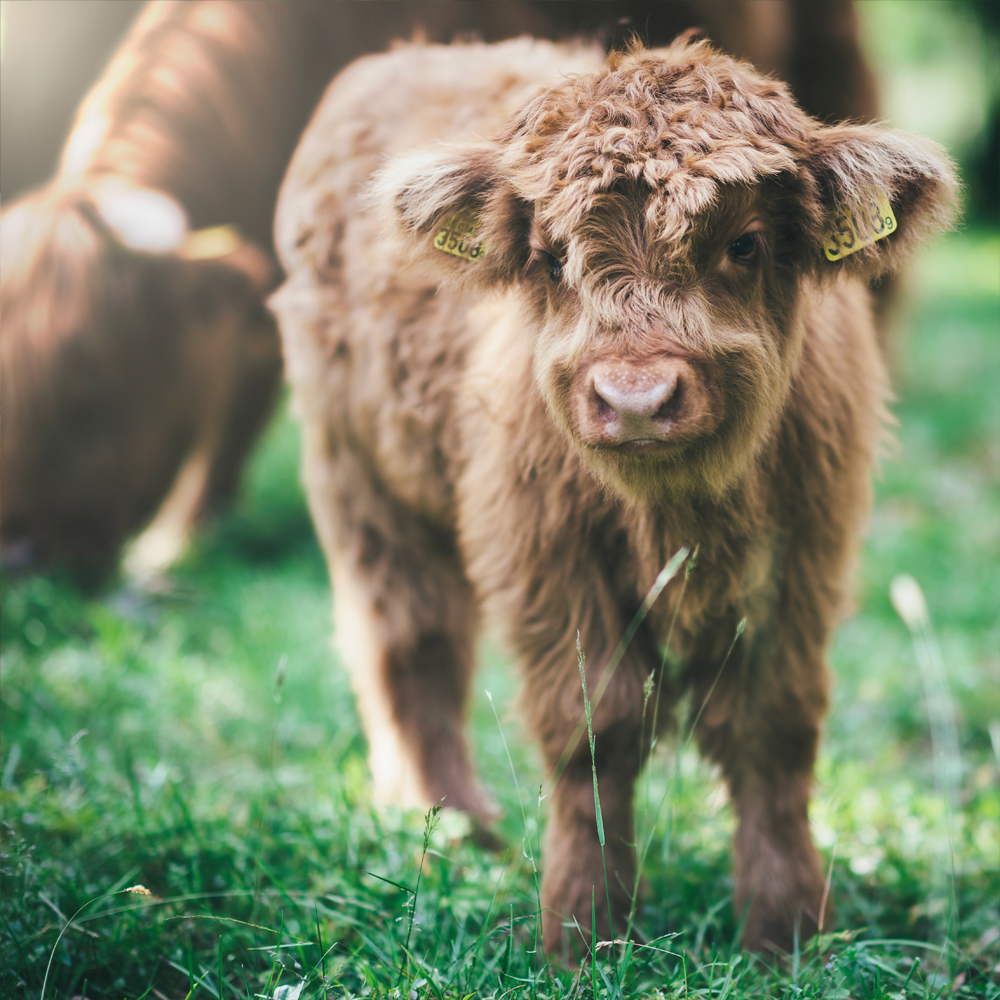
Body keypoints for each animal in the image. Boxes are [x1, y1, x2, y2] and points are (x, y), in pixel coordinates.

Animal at [271, 36, 955, 955]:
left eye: (744, 243)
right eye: (555, 255)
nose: (635, 399)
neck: (681, 515)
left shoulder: (803, 557)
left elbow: (772, 728)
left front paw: (786, 930)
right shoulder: (546, 558)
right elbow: (594, 728)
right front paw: (582, 928)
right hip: (360, 479)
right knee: (410, 640)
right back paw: (454, 828)